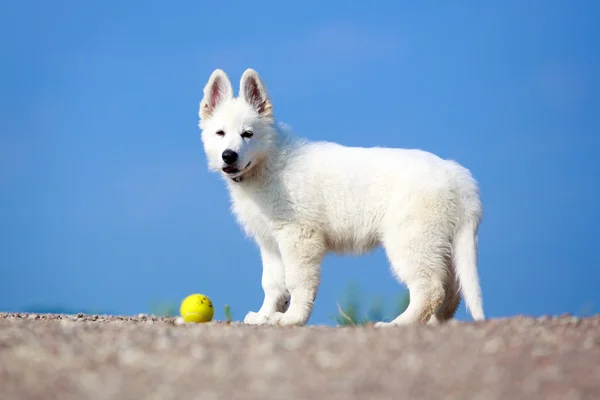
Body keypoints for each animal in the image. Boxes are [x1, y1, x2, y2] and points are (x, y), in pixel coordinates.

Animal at [199, 68, 486, 324]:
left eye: (247, 134)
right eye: (220, 133)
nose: (229, 156)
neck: (268, 162)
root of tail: (457, 175)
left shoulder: (299, 236)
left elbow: (297, 281)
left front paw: (292, 319)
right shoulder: (270, 242)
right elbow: (273, 284)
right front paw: (264, 316)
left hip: (411, 241)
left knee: (430, 290)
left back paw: (397, 324)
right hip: (441, 244)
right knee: (451, 293)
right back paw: (435, 326)